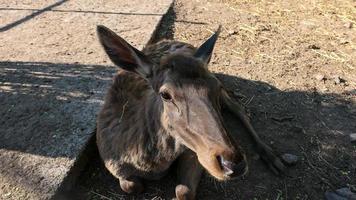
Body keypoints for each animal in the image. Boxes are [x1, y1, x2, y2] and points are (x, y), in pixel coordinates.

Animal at [95, 25, 284, 199]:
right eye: (165, 94)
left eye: (215, 87)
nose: (233, 164)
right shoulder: (113, 165)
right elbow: (131, 186)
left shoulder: (195, 152)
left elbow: (183, 191)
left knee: (239, 108)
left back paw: (271, 156)